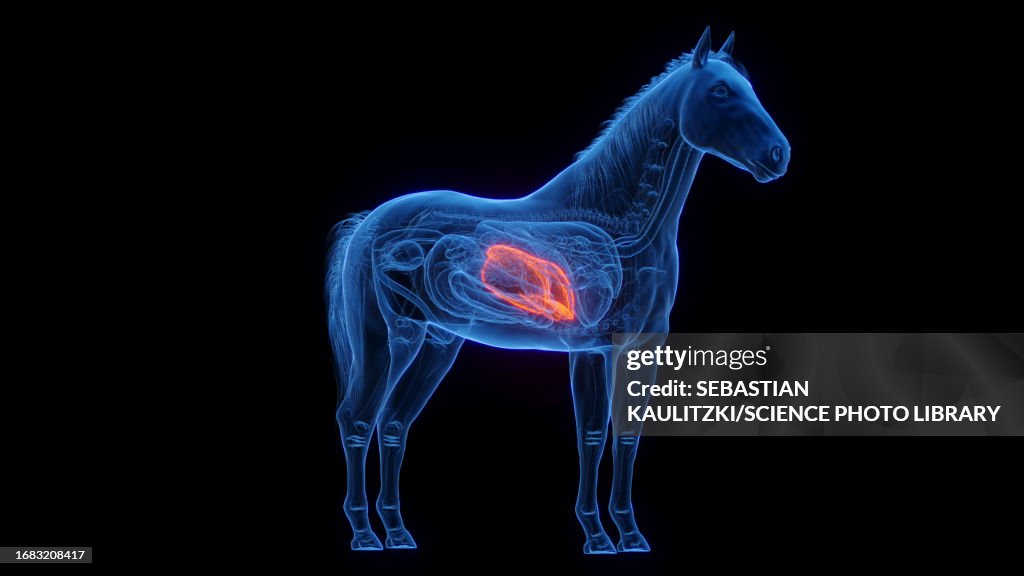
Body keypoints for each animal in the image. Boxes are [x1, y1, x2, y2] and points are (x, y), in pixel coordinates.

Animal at [326, 27, 789, 553]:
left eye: (750, 87)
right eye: (720, 91)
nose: (778, 155)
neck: (619, 227)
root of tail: (368, 225)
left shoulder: (641, 348)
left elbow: (626, 435)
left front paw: (630, 535)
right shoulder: (589, 347)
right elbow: (591, 435)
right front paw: (598, 536)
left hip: (438, 342)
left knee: (394, 424)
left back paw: (398, 532)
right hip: (391, 335)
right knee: (357, 420)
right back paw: (365, 535)